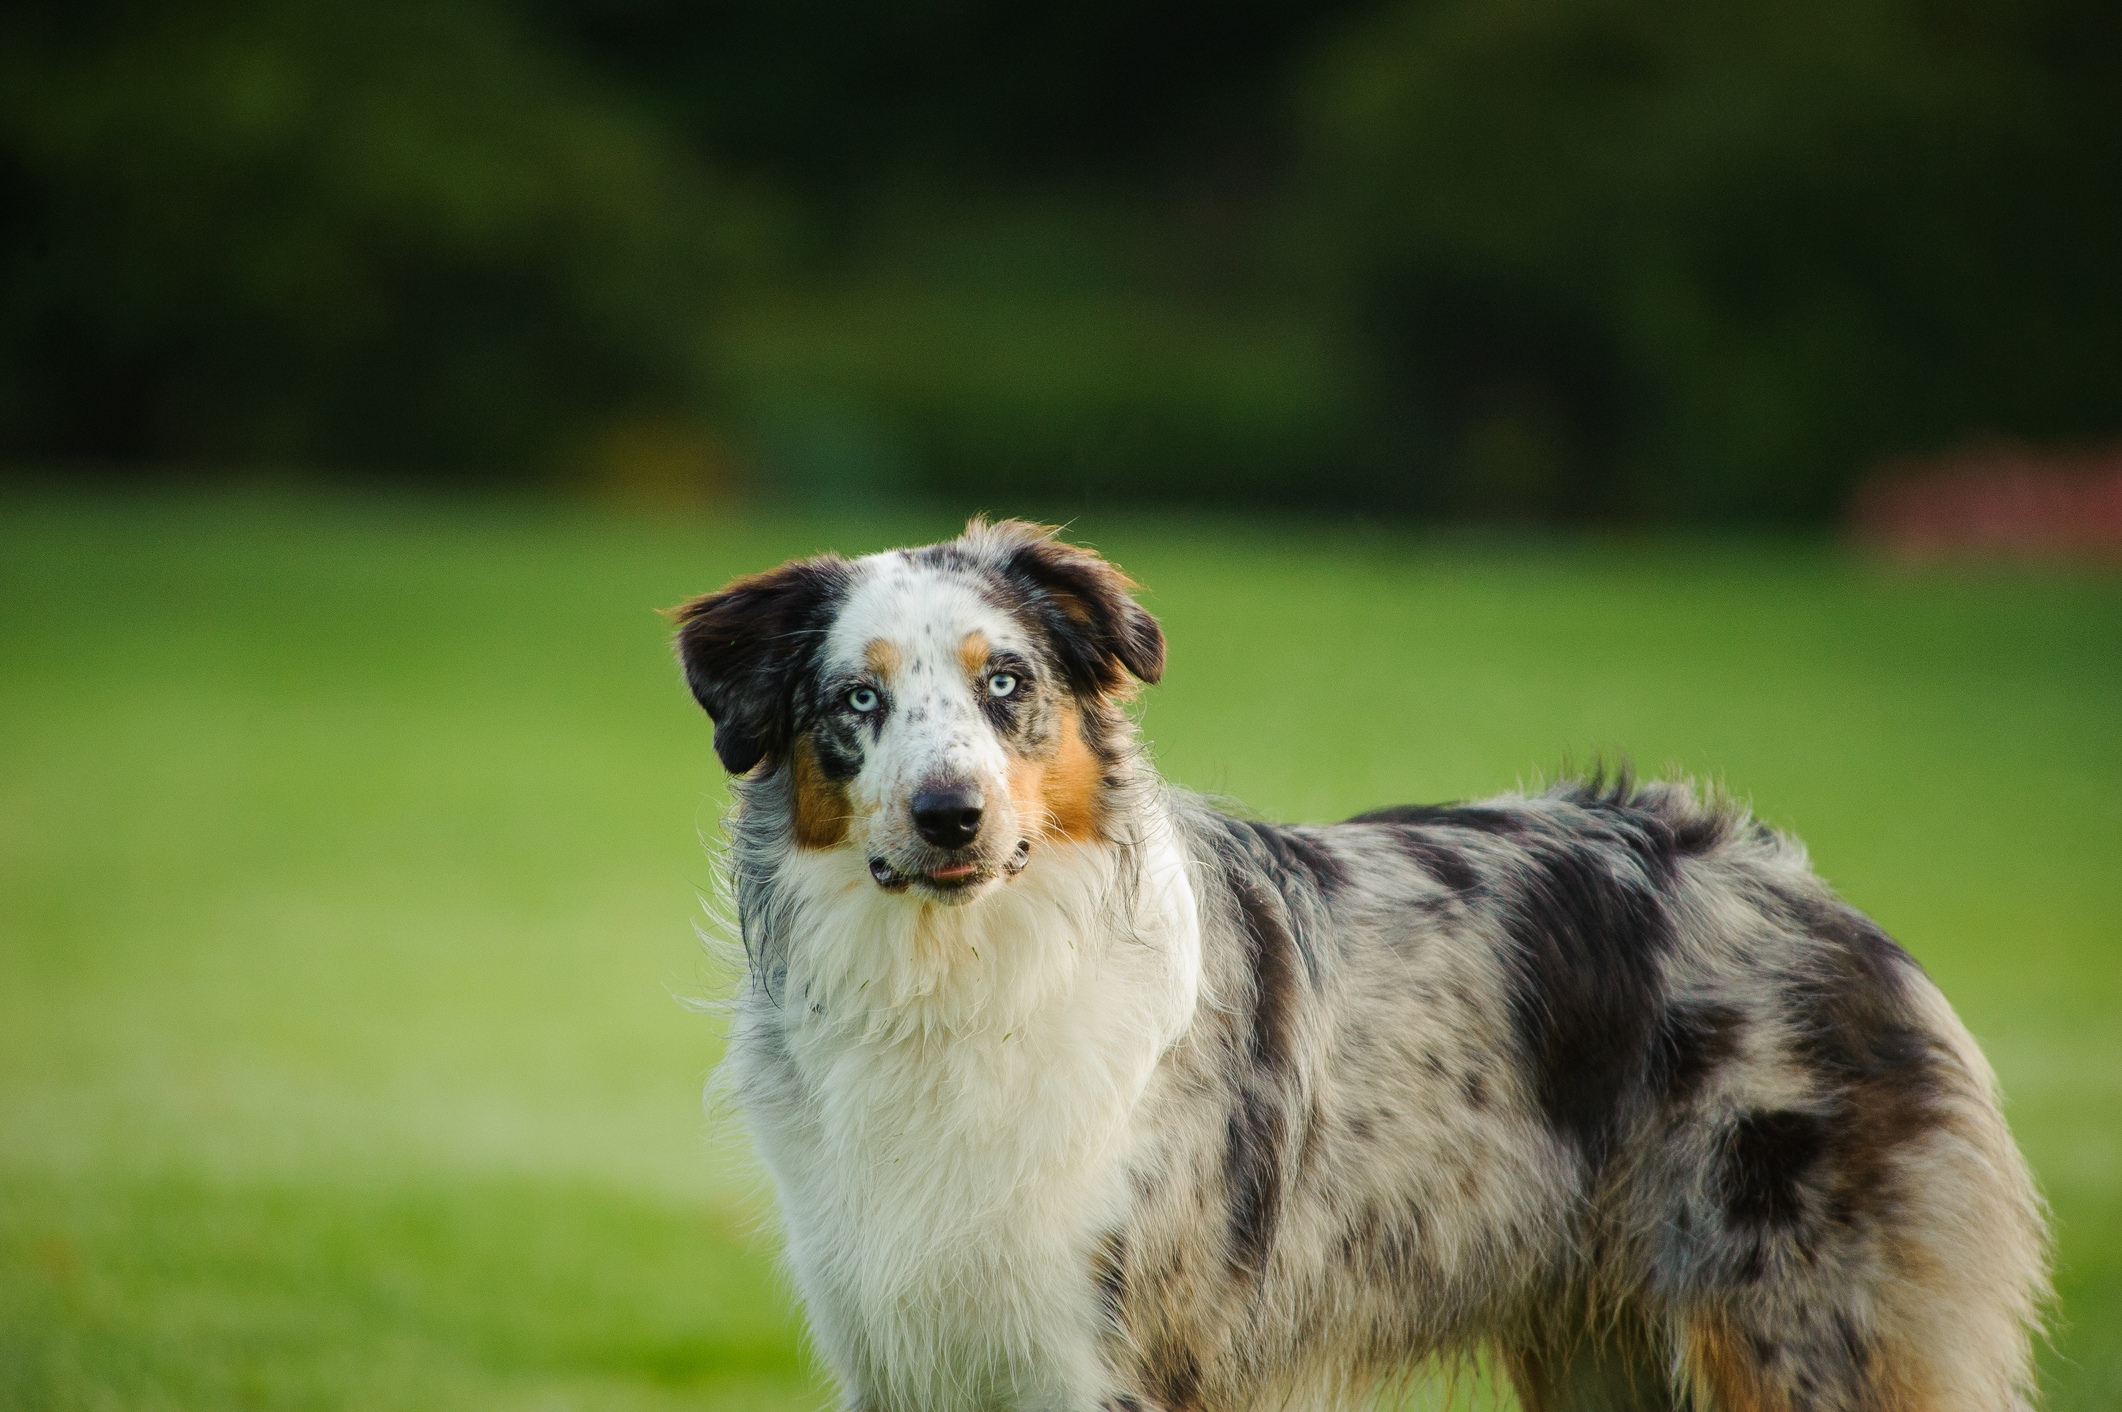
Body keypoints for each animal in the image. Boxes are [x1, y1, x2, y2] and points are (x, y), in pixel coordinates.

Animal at [670, 518, 2045, 1409]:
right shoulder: (902, 1346)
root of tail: (1816, 896)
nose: (950, 814)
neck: (960, 974)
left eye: (1004, 682)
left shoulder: (1119, 1360)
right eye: (856, 701)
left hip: (1801, 1332)